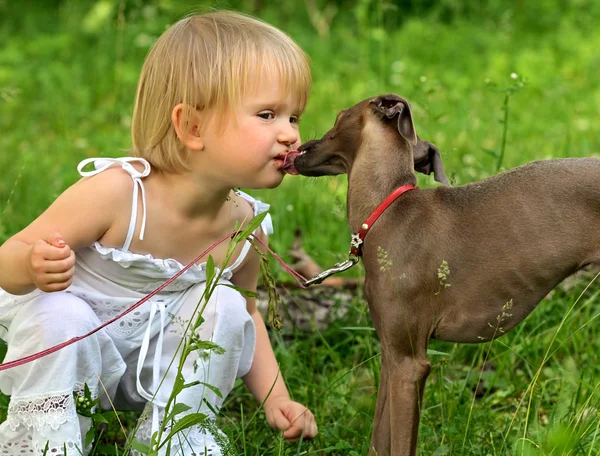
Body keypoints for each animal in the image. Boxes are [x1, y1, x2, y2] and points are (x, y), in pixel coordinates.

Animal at [284, 94, 600, 454]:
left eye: (339, 119)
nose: (299, 148)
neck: (389, 213)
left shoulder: (410, 364)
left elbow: (400, 444)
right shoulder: (392, 357)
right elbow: (379, 439)